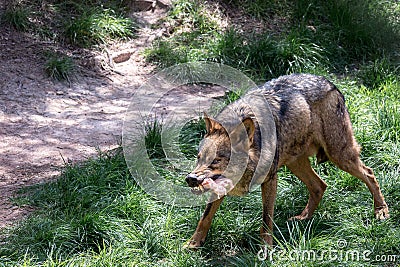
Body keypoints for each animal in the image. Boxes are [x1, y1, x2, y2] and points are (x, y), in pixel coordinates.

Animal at [186, 73, 390, 249]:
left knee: (369, 173)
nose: (190, 179)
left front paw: (266, 249)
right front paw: (193, 243)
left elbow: (266, 219)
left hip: (339, 155)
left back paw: (381, 210)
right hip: (296, 163)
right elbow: (205, 216)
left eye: (216, 160)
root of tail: (330, 83)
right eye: (199, 158)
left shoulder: (270, 180)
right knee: (320, 186)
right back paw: (303, 219)